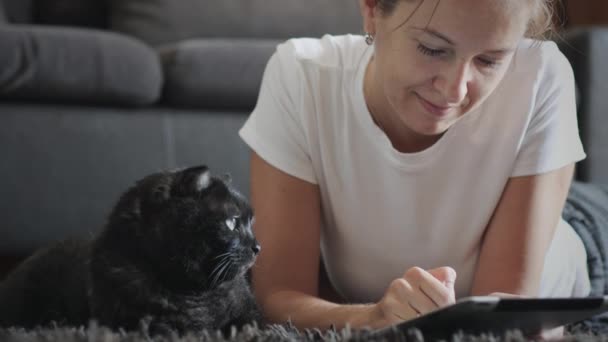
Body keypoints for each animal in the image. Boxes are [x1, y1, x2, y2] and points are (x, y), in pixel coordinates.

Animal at [0, 165, 260, 334]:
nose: (258, 246)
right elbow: (171, 328)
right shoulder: (136, 321)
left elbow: (251, 324)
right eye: (232, 222)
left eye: (251, 223)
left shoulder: (249, 311)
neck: (191, 292)